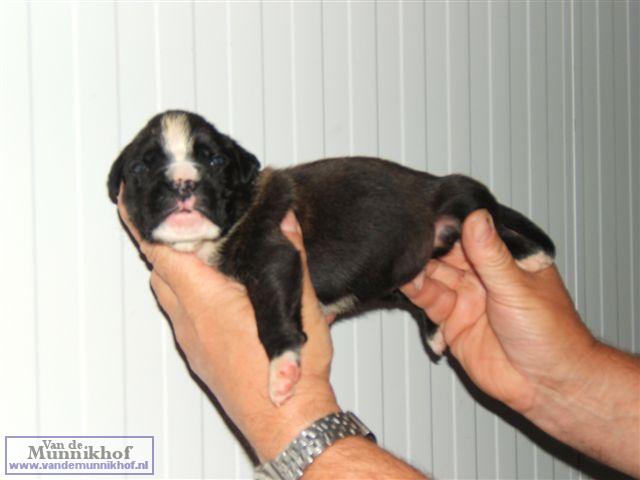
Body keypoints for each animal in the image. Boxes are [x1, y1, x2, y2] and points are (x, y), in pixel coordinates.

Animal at [108, 110, 555, 405]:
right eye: (143, 166)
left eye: (215, 160)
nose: (183, 182)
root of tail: (435, 183)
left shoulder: (274, 258)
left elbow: (272, 320)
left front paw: (282, 370)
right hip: (400, 276)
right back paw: (434, 332)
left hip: (459, 198)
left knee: (490, 221)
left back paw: (532, 256)